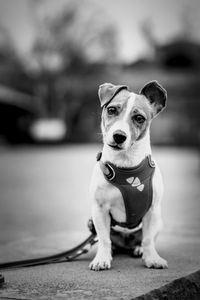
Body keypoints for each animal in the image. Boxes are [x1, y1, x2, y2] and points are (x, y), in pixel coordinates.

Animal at [88, 81, 167, 270]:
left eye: (139, 118)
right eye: (111, 110)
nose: (119, 136)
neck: (126, 167)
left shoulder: (152, 211)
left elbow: (148, 240)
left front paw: (152, 258)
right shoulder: (99, 210)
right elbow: (104, 239)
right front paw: (102, 258)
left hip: (159, 221)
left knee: (143, 239)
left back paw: (139, 249)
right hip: (91, 222)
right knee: (109, 240)